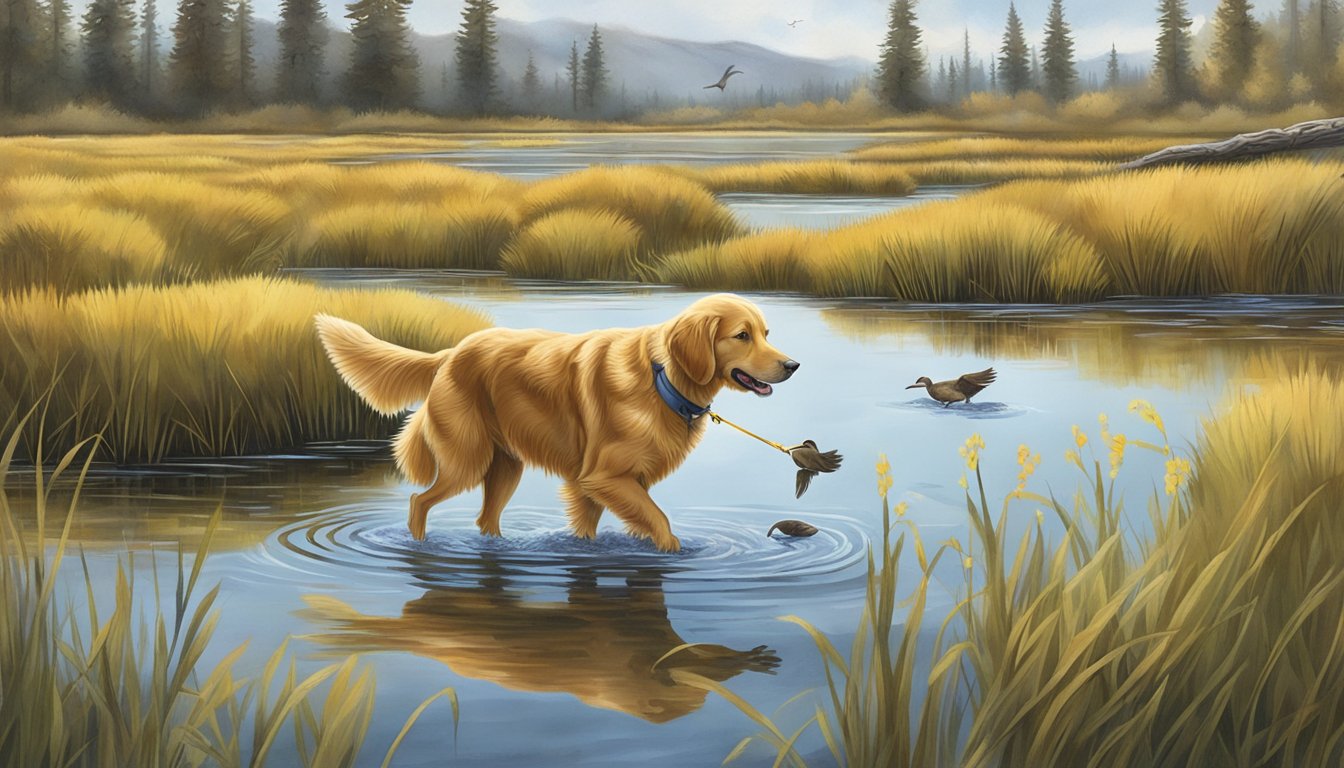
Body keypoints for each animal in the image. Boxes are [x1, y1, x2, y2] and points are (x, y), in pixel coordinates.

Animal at [317, 294, 795, 554]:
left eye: (767, 333)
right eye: (742, 336)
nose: (793, 365)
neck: (661, 378)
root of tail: (449, 353)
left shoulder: (599, 485)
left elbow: (596, 528)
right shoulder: (604, 477)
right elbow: (660, 520)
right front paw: (673, 552)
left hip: (505, 466)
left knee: (485, 519)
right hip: (466, 459)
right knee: (419, 501)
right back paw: (418, 546)